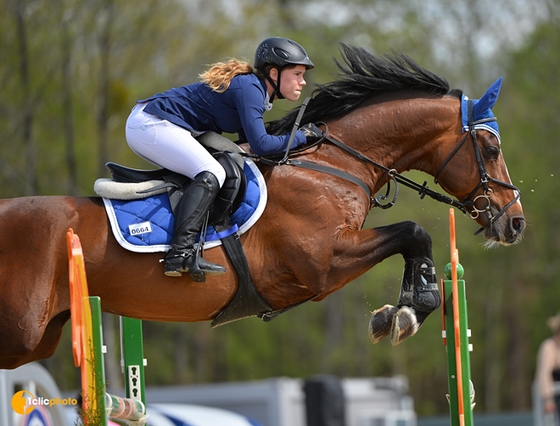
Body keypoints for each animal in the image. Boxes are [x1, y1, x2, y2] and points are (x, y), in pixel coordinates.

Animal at [0, 44, 524, 370]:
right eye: (491, 147)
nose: (515, 223)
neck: (332, 165)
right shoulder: (323, 263)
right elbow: (415, 231)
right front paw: (411, 310)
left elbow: (413, 237)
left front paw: (401, 311)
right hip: (21, 330)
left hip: (40, 335)